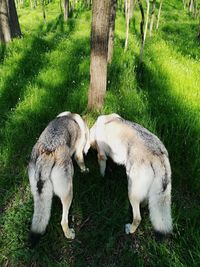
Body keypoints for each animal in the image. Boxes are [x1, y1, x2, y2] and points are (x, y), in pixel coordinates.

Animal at [28, 111, 90, 247]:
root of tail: (48, 152)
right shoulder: (78, 152)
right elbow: (81, 161)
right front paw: (85, 170)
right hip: (68, 193)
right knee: (63, 221)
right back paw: (69, 234)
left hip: (39, 195)